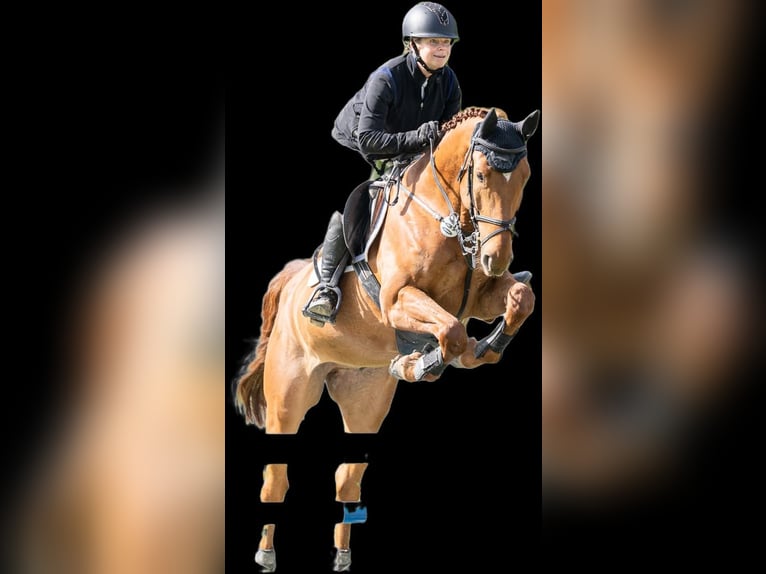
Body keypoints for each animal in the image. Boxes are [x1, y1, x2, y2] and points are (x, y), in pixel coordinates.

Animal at [233, 106, 539, 571]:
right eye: (483, 175)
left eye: (523, 176)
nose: (495, 258)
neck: (448, 218)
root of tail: (291, 277)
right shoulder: (397, 300)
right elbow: (451, 331)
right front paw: (428, 361)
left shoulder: (482, 296)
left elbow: (521, 299)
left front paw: (479, 350)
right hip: (288, 396)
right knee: (276, 476)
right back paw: (266, 554)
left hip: (365, 400)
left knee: (346, 478)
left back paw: (341, 555)